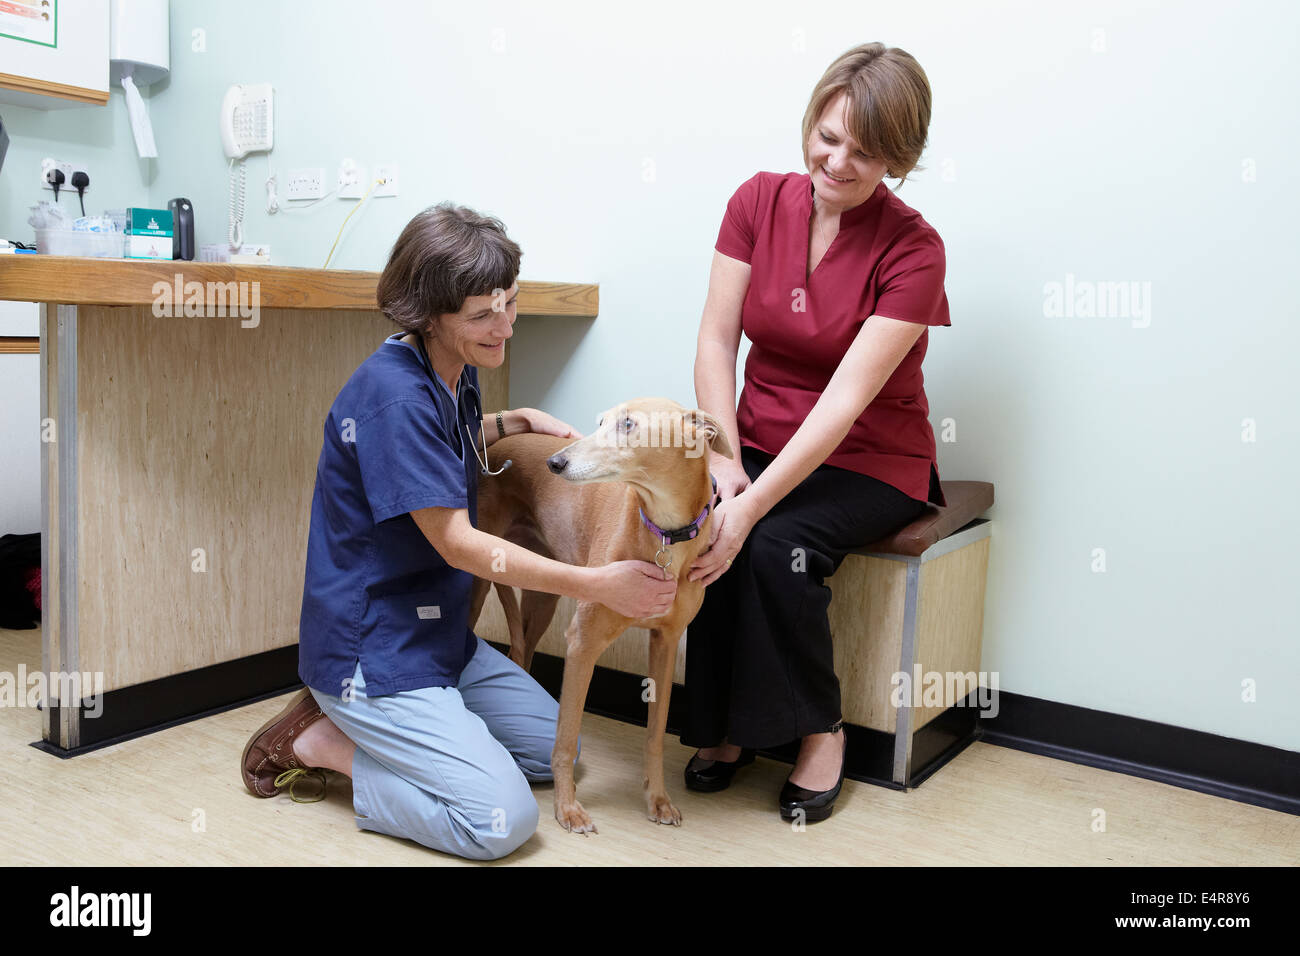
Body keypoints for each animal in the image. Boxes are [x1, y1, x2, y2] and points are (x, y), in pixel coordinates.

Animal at [467, 395, 733, 832]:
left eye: (628, 424)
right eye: (602, 421)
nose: (555, 463)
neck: (664, 535)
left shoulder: (665, 644)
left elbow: (655, 735)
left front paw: (658, 801)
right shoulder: (583, 643)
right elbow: (564, 737)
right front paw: (567, 808)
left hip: (542, 596)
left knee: (521, 652)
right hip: (477, 580)